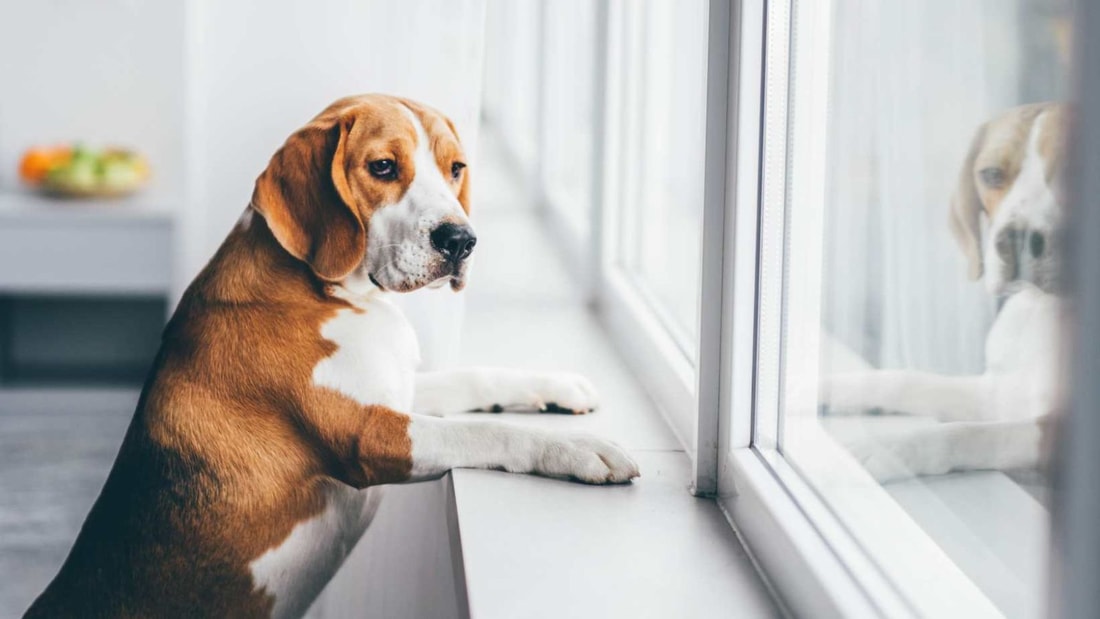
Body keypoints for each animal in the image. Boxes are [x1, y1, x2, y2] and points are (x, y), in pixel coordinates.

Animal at [25, 94, 642, 615]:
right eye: (384, 167)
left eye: (456, 168)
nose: (461, 241)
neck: (338, 293)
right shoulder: (368, 435)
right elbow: (486, 434)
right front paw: (582, 450)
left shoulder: (397, 390)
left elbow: (475, 378)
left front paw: (558, 386)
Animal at [827, 101, 1064, 481]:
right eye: (992, 174)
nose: (1014, 240)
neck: (1044, 310)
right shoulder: (996, 394)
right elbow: (905, 381)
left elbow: (972, 434)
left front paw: (890, 448)